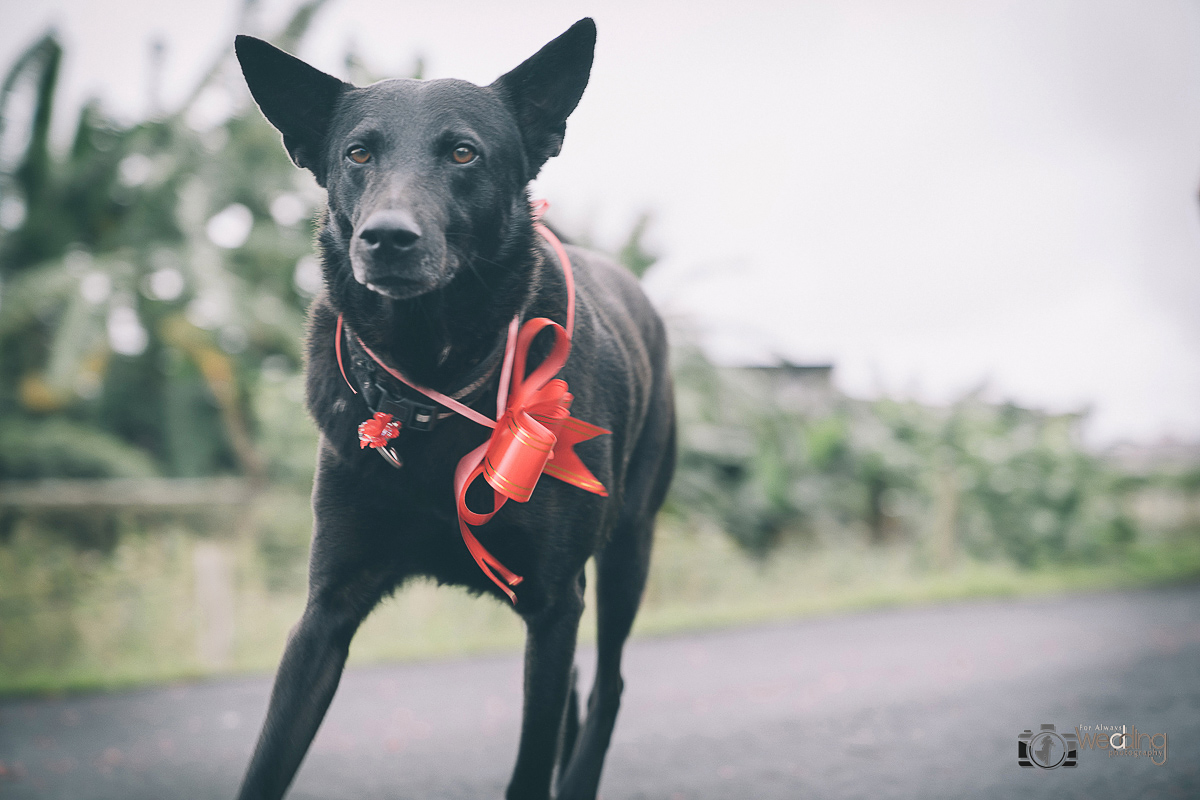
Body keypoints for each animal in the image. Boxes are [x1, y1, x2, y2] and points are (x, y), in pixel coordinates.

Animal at [234, 18, 676, 800]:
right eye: (357, 153)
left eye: (464, 152)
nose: (386, 238)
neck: (426, 385)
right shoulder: (325, 614)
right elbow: (267, 763)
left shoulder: (555, 602)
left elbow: (530, 769)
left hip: (629, 548)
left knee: (608, 689)